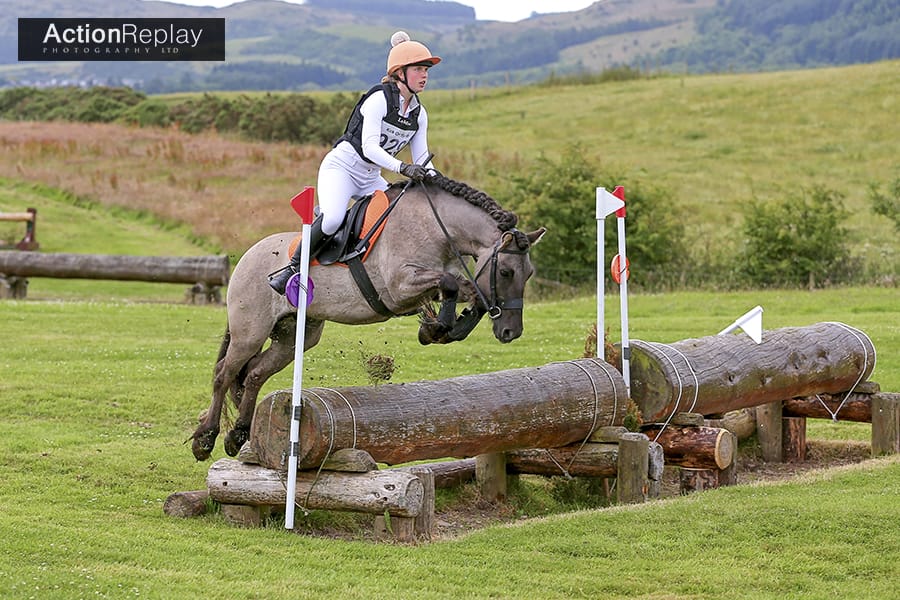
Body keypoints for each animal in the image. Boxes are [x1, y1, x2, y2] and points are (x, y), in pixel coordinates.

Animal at [191, 172, 546, 461]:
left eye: (529, 273)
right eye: (506, 271)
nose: (511, 332)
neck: (437, 227)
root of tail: (246, 257)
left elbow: (467, 292)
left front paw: (440, 328)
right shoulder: (400, 286)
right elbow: (451, 284)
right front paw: (437, 327)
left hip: (295, 336)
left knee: (253, 374)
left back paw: (238, 434)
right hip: (251, 331)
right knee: (224, 373)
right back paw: (205, 439)